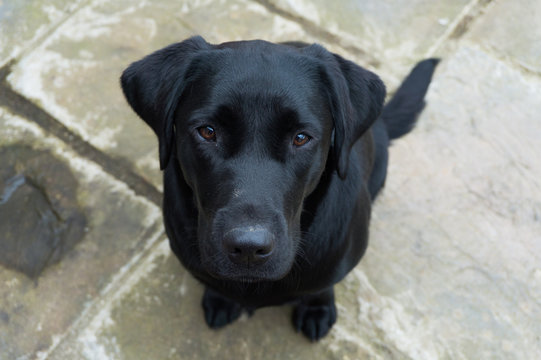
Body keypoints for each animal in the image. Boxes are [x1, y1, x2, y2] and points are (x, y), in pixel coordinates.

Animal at [120, 36, 436, 340]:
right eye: (207, 131)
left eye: (300, 137)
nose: (248, 248)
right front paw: (221, 298)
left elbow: (321, 287)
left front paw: (317, 307)